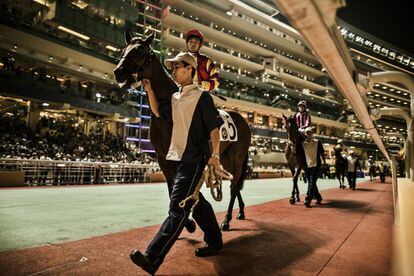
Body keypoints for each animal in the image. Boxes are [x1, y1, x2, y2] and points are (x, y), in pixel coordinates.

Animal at [113, 32, 251, 231]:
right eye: (125, 49)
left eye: (140, 50)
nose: (118, 71)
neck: (168, 109)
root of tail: (244, 120)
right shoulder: (162, 157)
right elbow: (172, 186)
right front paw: (189, 222)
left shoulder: (181, 156)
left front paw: (190, 220)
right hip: (222, 157)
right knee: (234, 182)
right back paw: (240, 212)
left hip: (237, 157)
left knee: (234, 186)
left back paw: (226, 220)